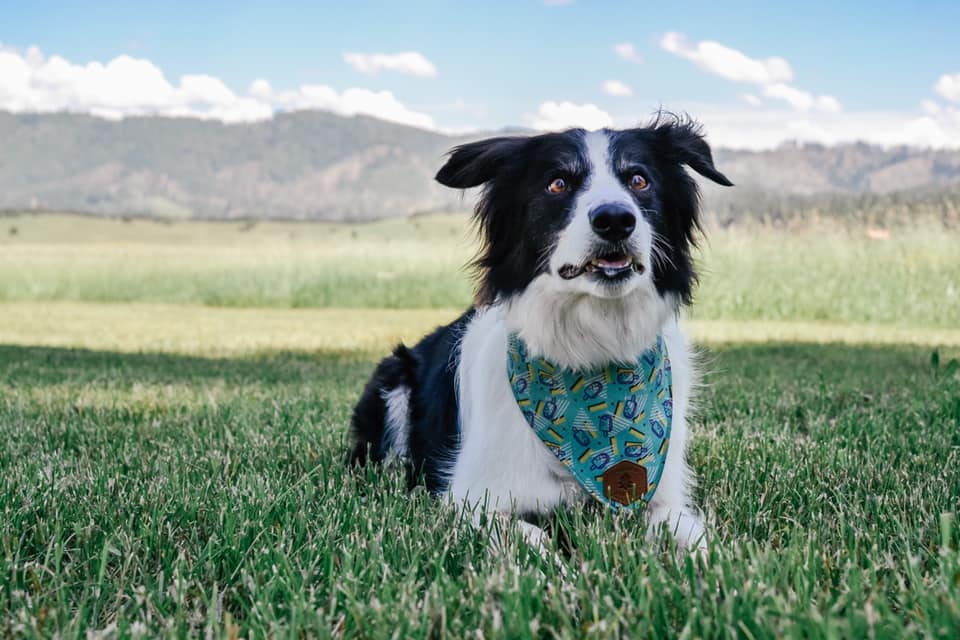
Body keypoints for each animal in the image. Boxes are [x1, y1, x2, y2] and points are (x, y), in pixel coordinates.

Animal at [348, 116, 732, 556]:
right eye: (558, 183)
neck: (593, 350)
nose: (615, 219)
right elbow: (529, 536)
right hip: (393, 380)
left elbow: (694, 538)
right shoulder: (470, 498)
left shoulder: (662, 496)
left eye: (639, 180)